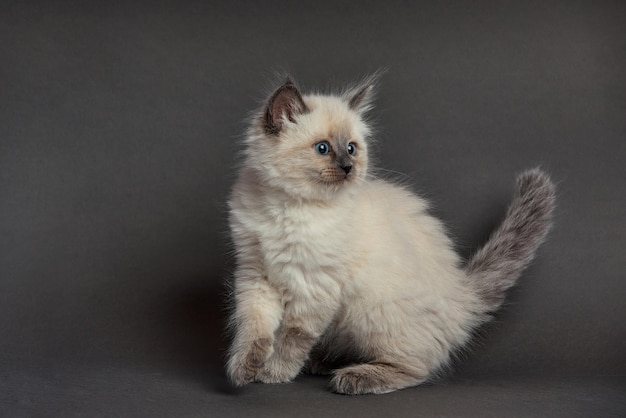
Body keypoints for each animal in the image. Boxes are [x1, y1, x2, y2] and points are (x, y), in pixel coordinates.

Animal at [225, 76, 556, 396]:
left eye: (352, 148)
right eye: (323, 148)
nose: (348, 168)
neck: (288, 207)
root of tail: (461, 294)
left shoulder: (314, 286)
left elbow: (292, 338)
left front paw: (274, 373)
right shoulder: (256, 274)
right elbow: (255, 328)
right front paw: (245, 368)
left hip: (371, 310)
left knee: (417, 367)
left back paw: (353, 377)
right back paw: (322, 362)